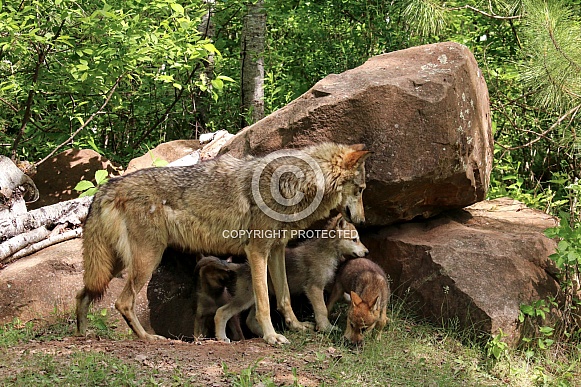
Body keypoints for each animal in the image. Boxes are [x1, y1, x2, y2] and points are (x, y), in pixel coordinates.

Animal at [213, 215, 368, 342]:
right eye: (354, 239)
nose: (367, 252)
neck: (326, 251)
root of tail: (241, 266)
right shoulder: (314, 287)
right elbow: (322, 309)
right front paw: (327, 328)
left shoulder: (327, 284)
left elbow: (345, 297)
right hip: (247, 297)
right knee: (222, 312)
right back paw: (222, 338)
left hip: (257, 297)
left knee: (250, 320)